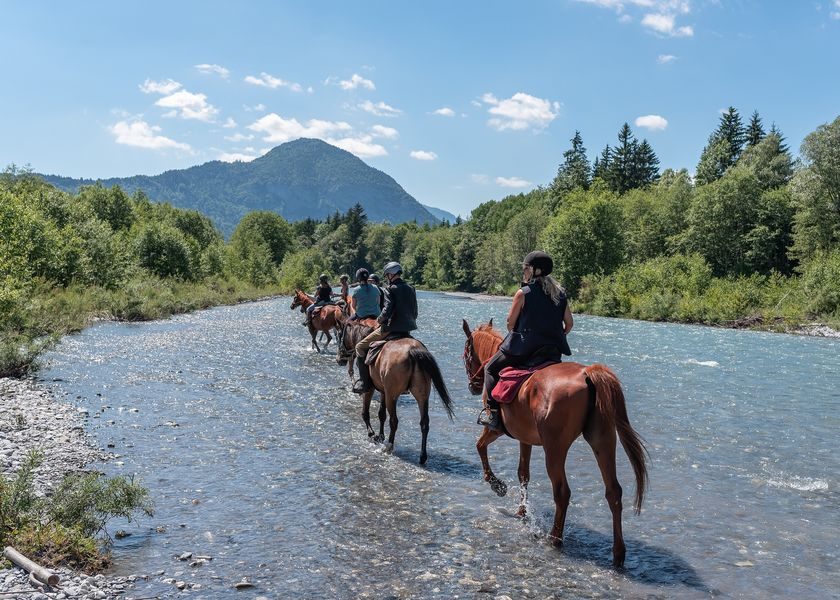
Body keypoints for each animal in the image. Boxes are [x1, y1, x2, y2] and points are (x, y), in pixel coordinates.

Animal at [460, 318, 648, 568]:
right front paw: (521, 511)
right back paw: (618, 554)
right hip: (603, 441)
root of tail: (588, 373)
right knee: (613, 492)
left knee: (562, 492)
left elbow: (480, 446)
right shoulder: (525, 438)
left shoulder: (496, 428)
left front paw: (497, 485)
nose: (473, 386)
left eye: (466, 353)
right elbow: (523, 474)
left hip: (555, 449)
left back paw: (554, 538)